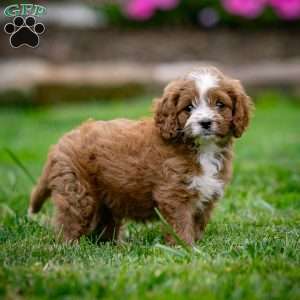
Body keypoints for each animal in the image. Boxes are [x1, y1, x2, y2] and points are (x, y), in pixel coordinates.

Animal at [29, 67, 252, 245]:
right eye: (188, 107)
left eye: (220, 104)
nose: (205, 123)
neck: (201, 148)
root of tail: (60, 142)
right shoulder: (173, 193)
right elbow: (181, 223)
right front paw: (185, 248)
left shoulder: (206, 197)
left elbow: (197, 223)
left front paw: (196, 246)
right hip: (78, 190)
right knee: (70, 220)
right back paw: (70, 246)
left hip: (105, 197)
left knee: (103, 226)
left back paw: (113, 245)